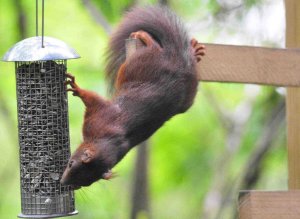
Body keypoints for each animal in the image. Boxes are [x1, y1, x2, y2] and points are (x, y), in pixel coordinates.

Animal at [59, 6, 205, 189]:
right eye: (70, 164)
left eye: (84, 184)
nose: (62, 182)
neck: (108, 142)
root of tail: (179, 61)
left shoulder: (99, 117)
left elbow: (93, 99)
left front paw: (76, 88)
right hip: (187, 95)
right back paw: (194, 51)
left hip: (141, 62)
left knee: (153, 47)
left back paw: (144, 36)